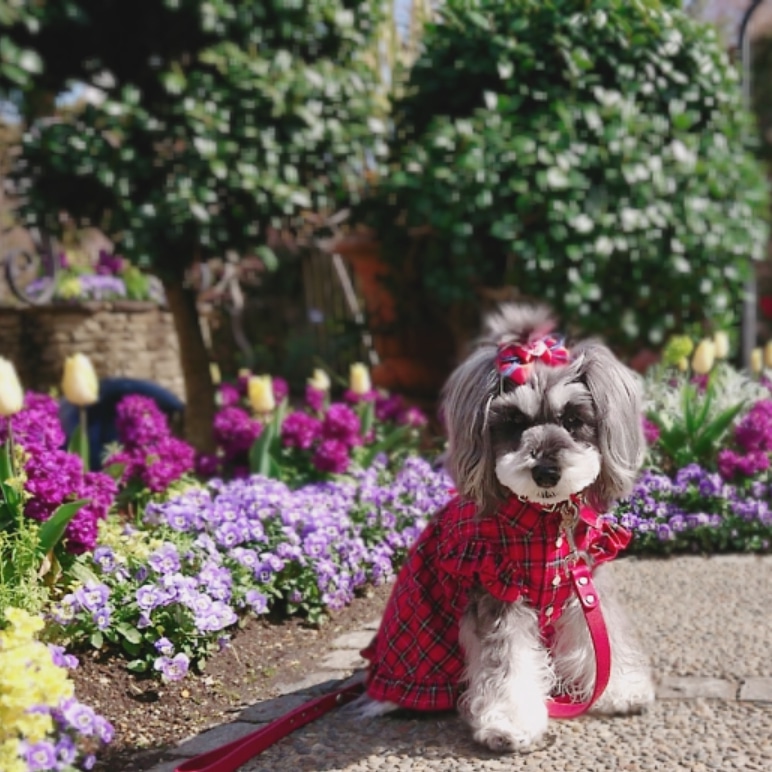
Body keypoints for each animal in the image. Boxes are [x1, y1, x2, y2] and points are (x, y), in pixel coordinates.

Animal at [354, 304, 652, 752]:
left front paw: (619, 688)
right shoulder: (496, 589)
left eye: (572, 420)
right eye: (512, 421)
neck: (543, 521)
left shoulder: (580, 583)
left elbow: (600, 639)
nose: (546, 472)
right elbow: (506, 661)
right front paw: (510, 724)